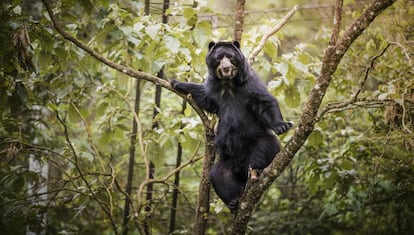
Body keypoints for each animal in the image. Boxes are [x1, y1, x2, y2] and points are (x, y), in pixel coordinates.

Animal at [170, 40, 292, 213]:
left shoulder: (249, 83)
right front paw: (176, 82)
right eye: (219, 58)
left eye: (230, 57)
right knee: (218, 175)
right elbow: (205, 97)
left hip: (258, 141)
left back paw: (257, 171)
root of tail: (239, 165)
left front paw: (282, 126)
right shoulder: (214, 89)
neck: (228, 83)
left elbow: (264, 101)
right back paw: (234, 201)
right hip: (227, 161)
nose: (226, 68)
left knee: (264, 149)